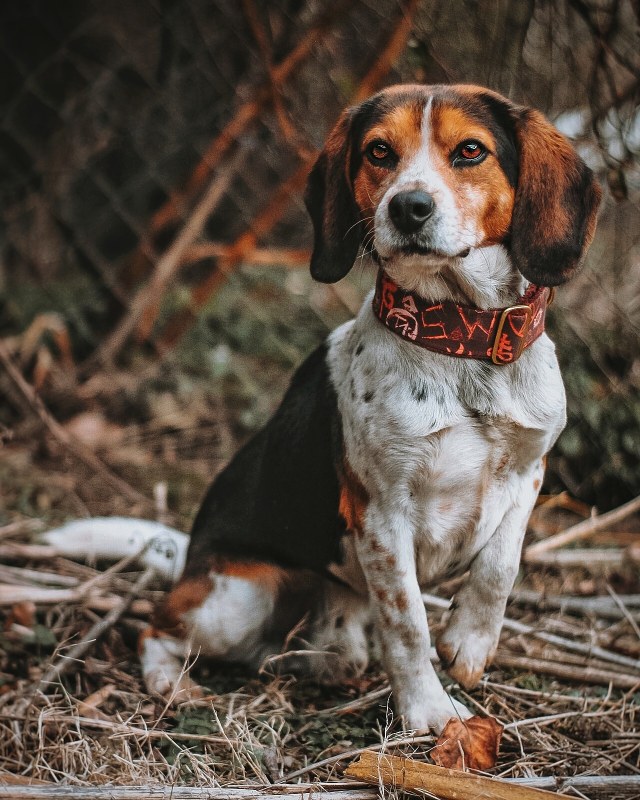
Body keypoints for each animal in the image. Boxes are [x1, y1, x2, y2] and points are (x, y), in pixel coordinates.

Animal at [43, 84, 600, 736]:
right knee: (155, 627)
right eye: (379, 151)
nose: (408, 208)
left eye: (470, 150)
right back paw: (170, 686)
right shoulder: (382, 514)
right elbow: (407, 623)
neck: (462, 341)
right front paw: (430, 711)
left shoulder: (530, 471)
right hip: (238, 598)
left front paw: (469, 642)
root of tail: (191, 559)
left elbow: (502, 563)